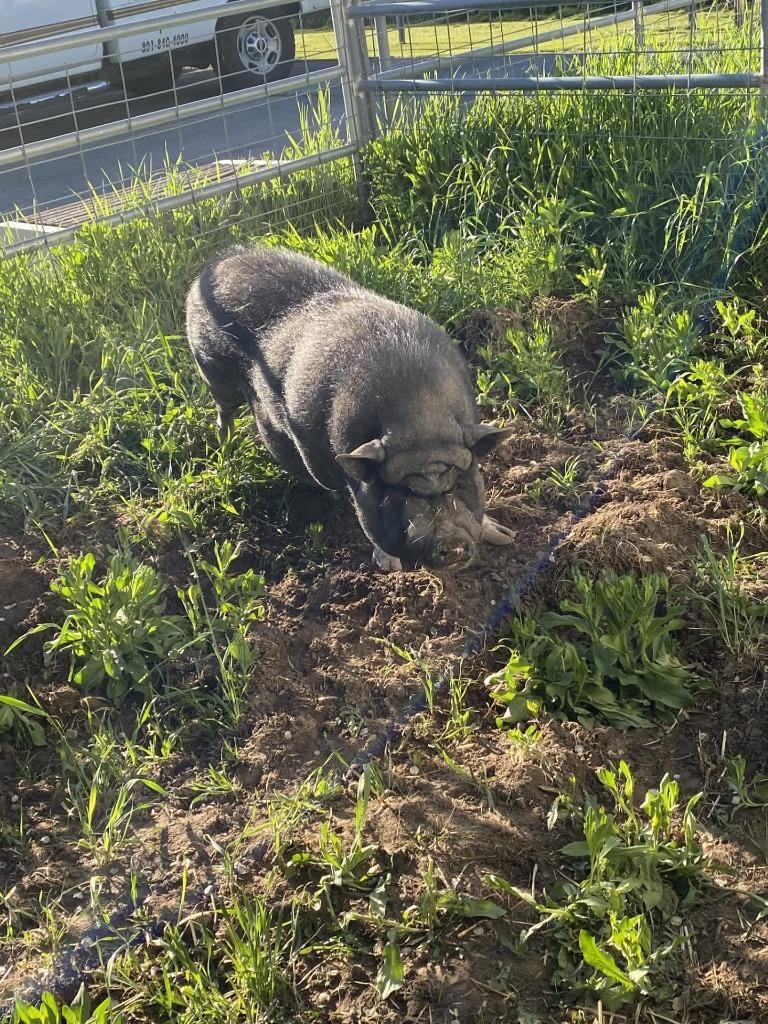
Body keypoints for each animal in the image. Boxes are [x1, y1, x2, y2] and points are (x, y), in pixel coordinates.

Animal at [185, 244, 515, 570]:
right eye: (402, 492)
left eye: (458, 483)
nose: (451, 543)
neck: (420, 420)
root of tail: (216, 262)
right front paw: (389, 567)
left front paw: (505, 536)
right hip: (211, 368)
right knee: (225, 411)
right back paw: (227, 447)